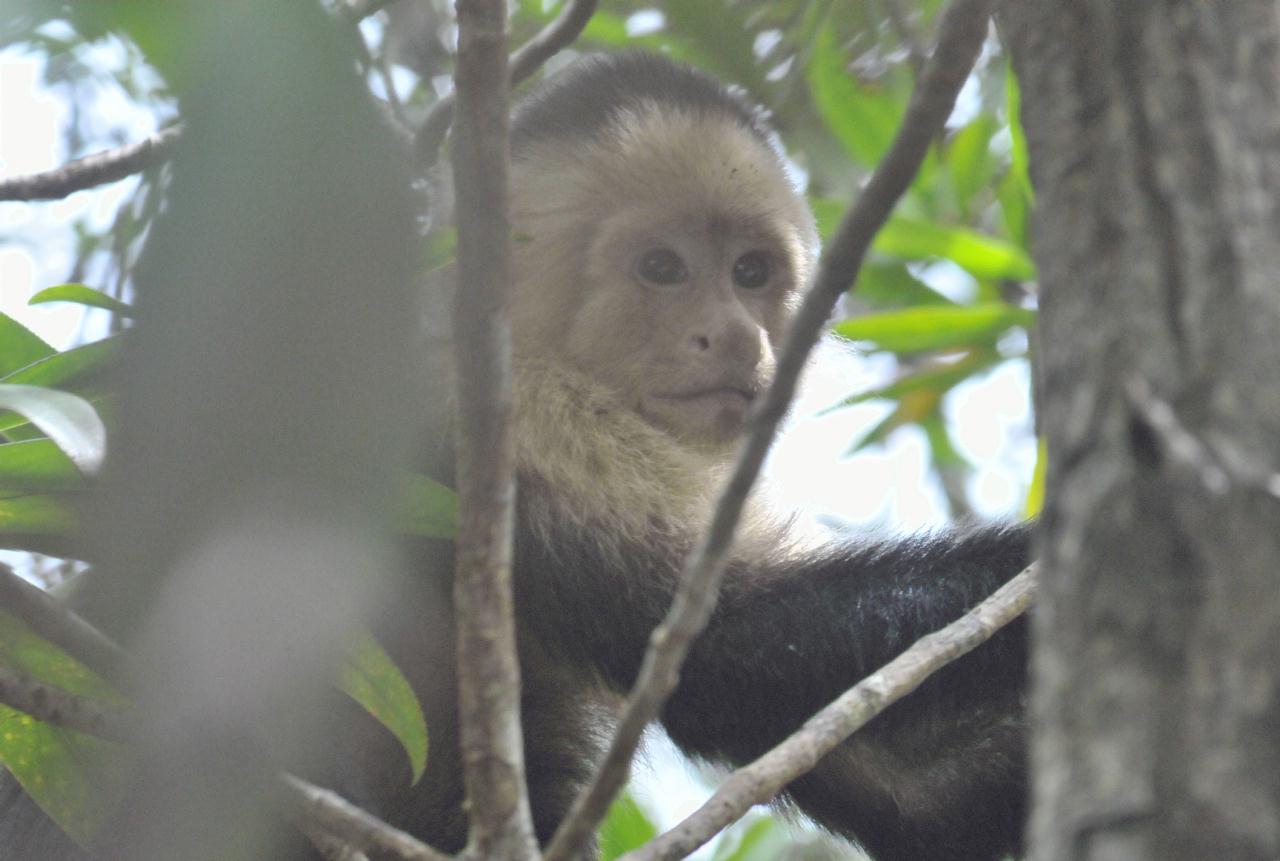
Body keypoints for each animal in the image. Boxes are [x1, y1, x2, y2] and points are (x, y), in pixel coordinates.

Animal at [0, 52, 1029, 859]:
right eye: (662, 269)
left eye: (750, 273)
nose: (736, 339)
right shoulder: (513, 416)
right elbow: (722, 642)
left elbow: (906, 787)